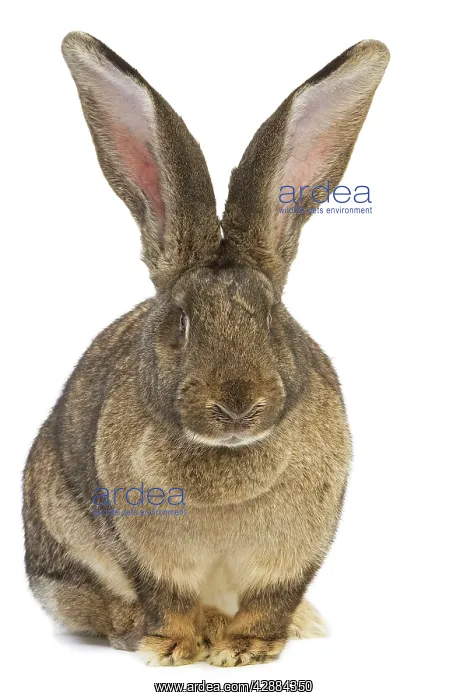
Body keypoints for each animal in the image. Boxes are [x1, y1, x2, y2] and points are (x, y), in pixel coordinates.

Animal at [22, 31, 389, 667]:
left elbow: (271, 600)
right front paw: (172, 648)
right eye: (181, 322)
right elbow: (166, 598)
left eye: (272, 318)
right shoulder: (144, 550)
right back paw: (140, 628)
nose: (237, 404)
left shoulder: (295, 554)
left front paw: (245, 651)